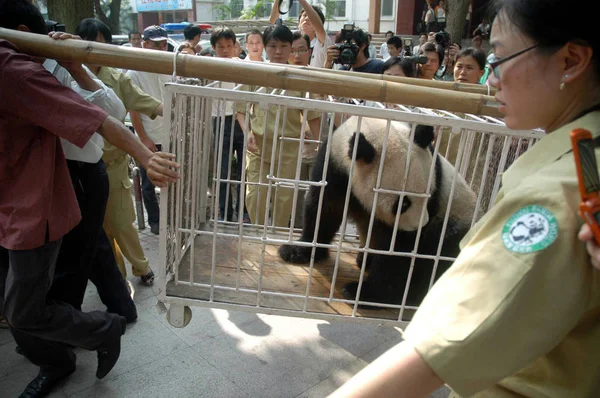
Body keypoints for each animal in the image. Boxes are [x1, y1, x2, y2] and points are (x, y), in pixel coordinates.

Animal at [278, 116, 476, 306]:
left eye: (428, 197)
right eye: (403, 204)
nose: (418, 227)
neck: (377, 127)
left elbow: (398, 252)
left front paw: (365, 293)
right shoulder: (334, 165)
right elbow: (324, 208)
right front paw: (296, 251)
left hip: (457, 217)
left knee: (438, 251)